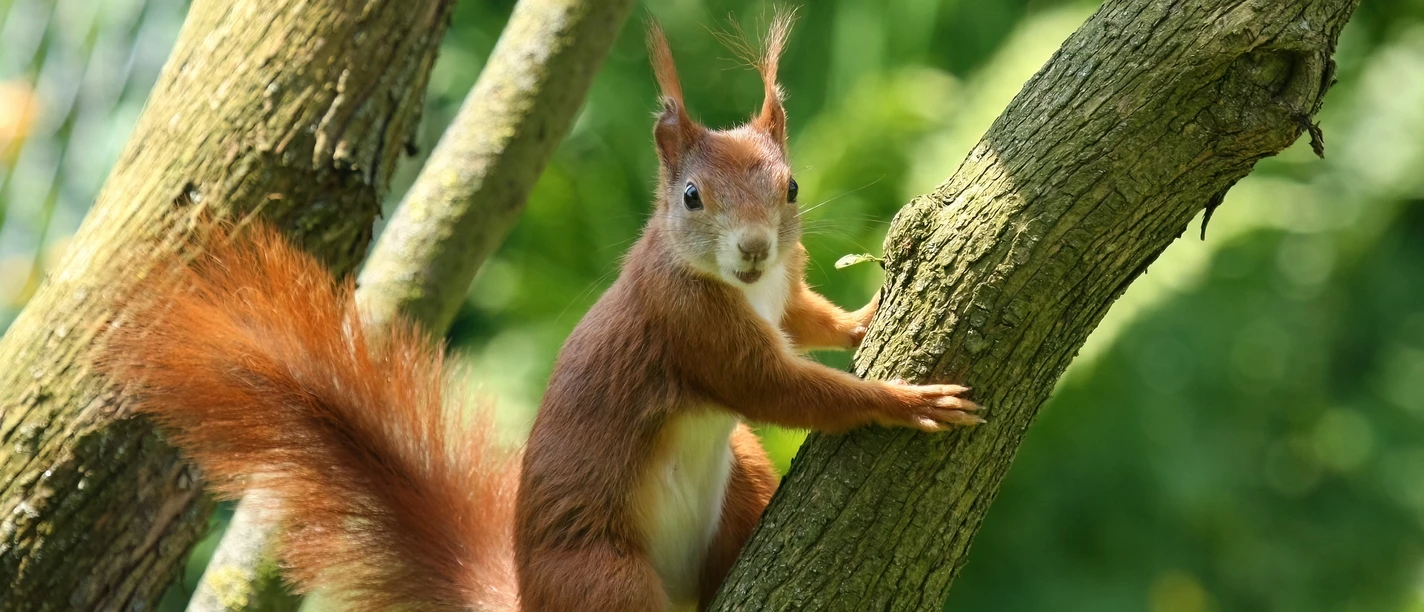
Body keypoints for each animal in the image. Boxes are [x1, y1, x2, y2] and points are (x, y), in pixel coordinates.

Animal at [99, 14, 981, 612]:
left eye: (790, 186)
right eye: (692, 197)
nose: (755, 248)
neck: (740, 287)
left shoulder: (781, 293)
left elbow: (803, 322)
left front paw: (863, 318)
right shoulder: (687, 326)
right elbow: (781, 390)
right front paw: (901, 400)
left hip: (737, 473)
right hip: (602, 577)